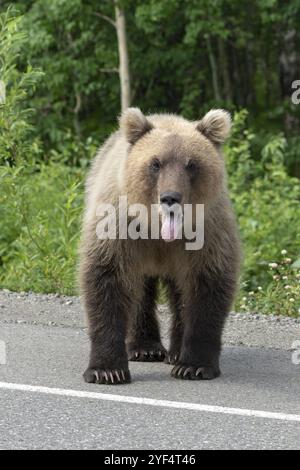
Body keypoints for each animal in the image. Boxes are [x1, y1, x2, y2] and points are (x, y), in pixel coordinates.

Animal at [79, 108, 241, 384]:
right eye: (155, 163)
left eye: (191, 164)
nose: (170, 198)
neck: (158, 230)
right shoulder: (118, 225)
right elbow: (108, 279)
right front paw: (107, 370)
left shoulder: (208, 232)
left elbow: (207, 286)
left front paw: (194, 365)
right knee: (140, 290)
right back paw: (145, 348)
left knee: (179, 294)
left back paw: (175, 353)